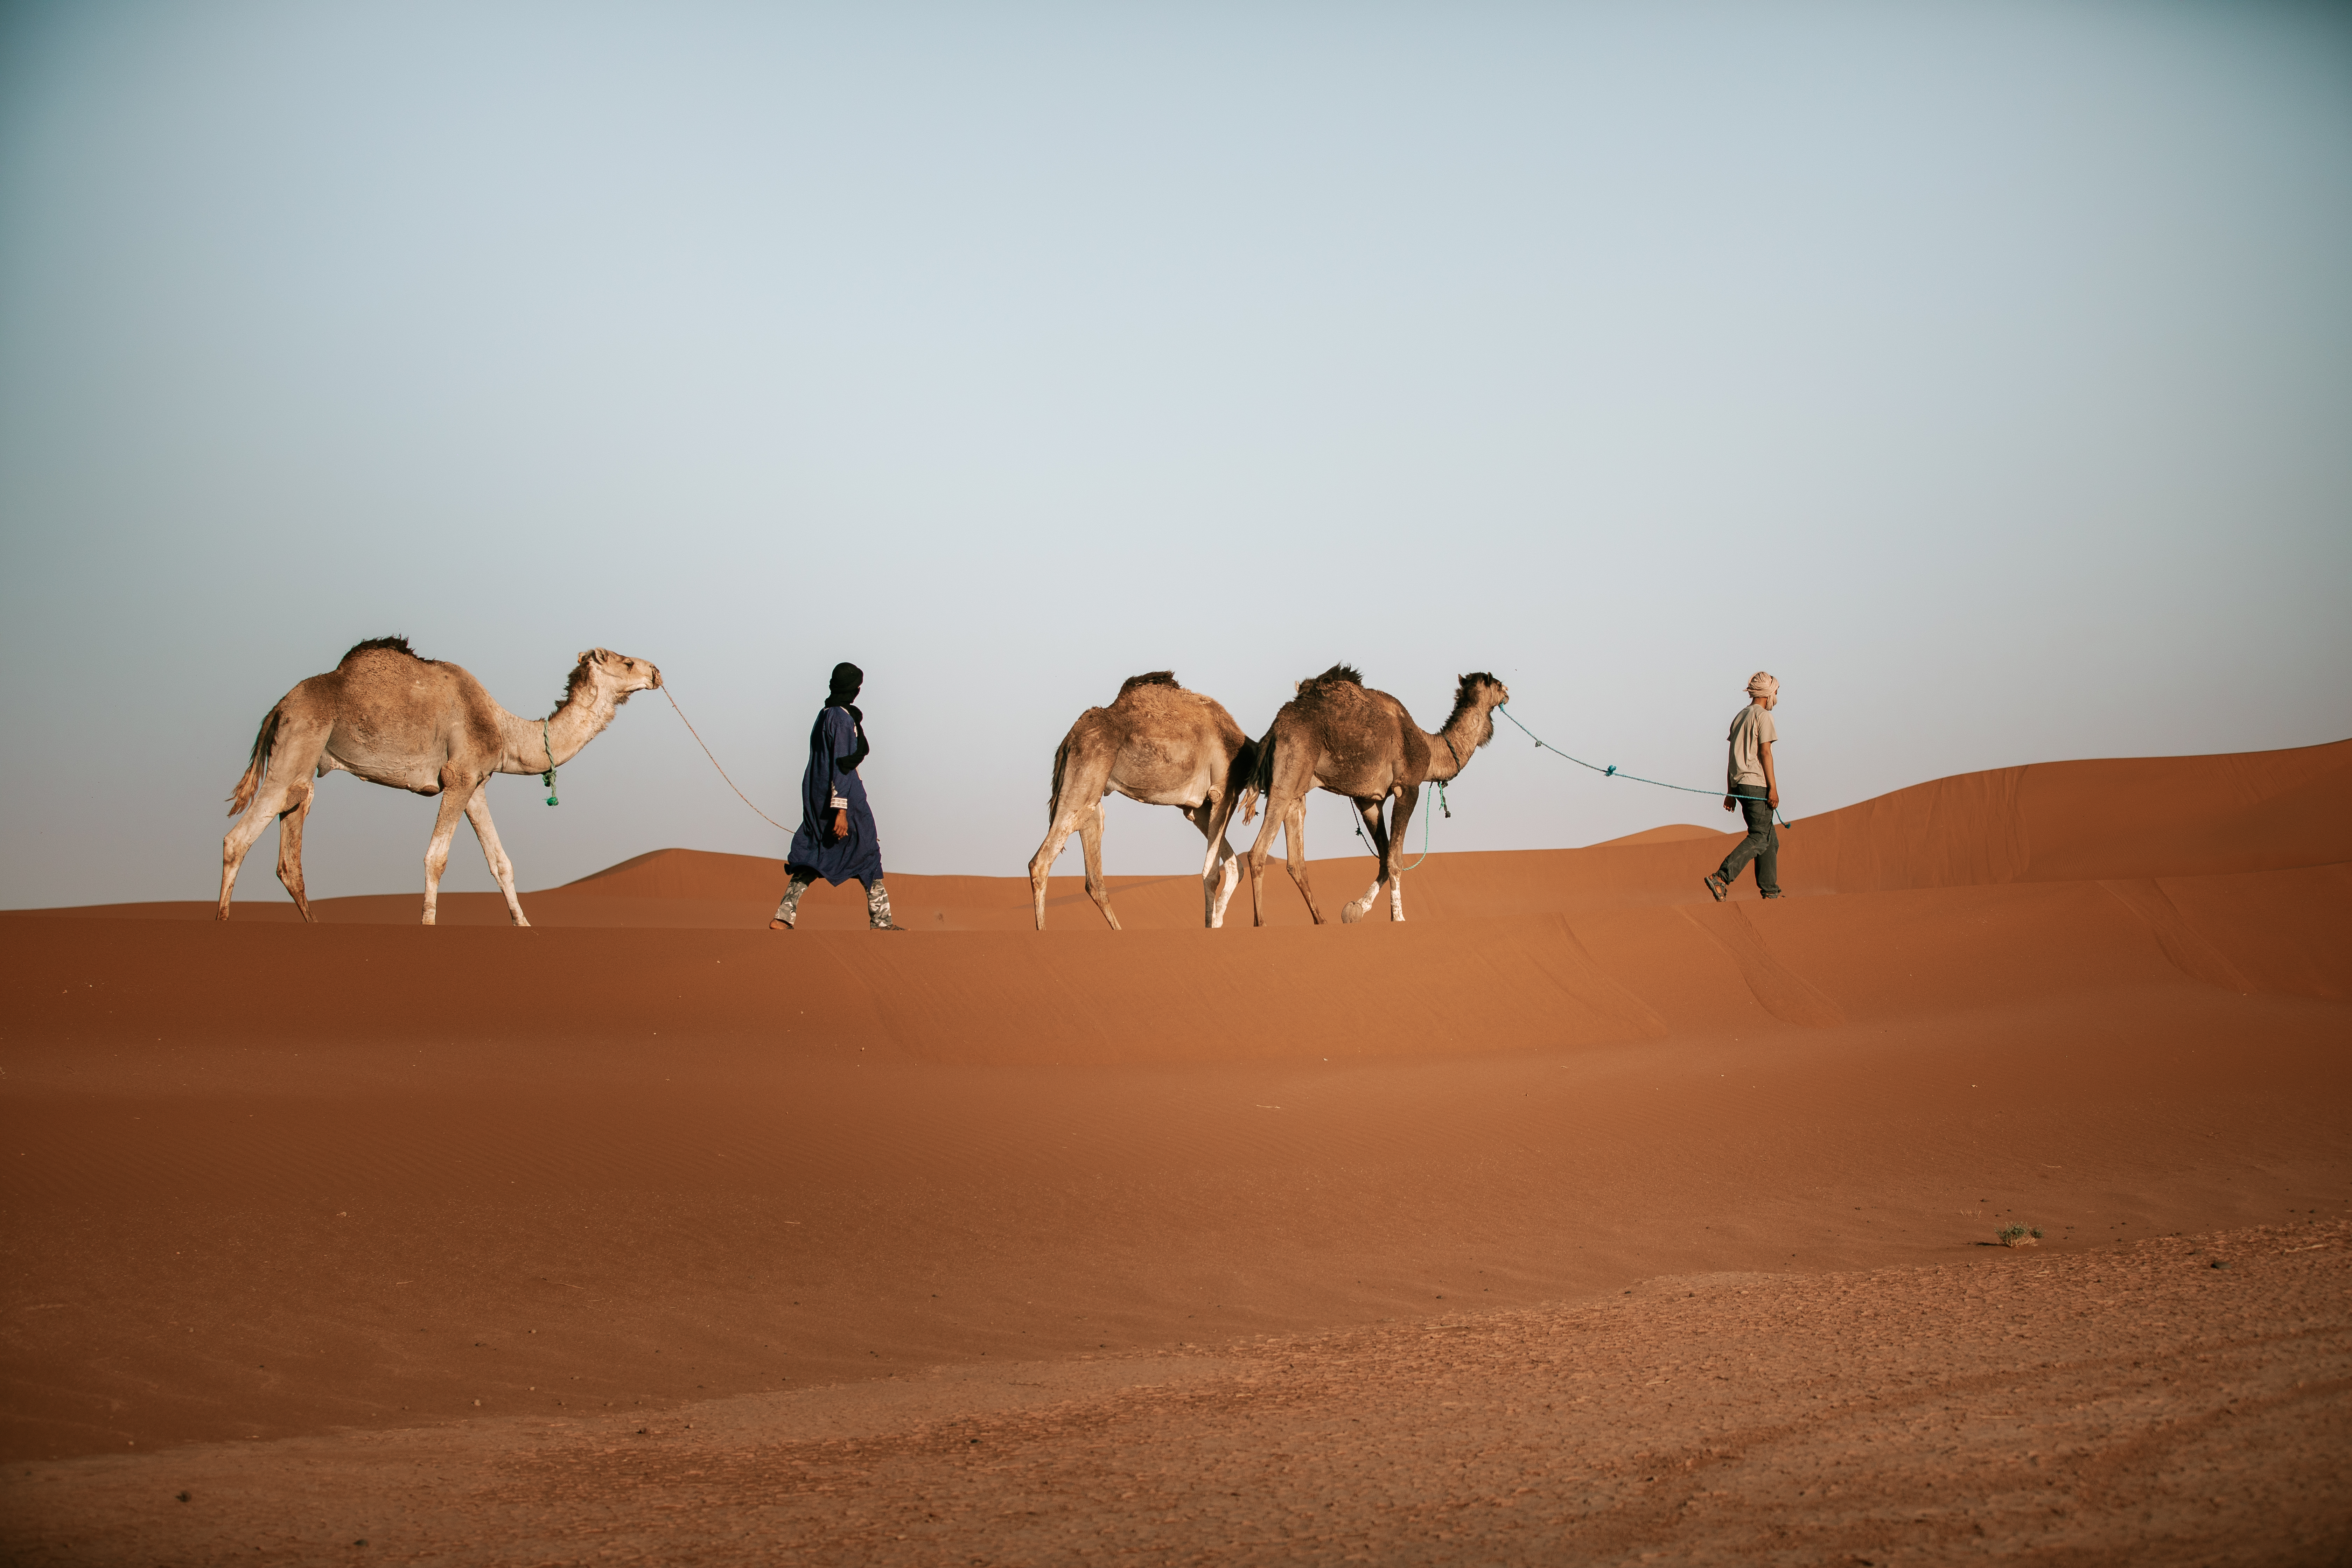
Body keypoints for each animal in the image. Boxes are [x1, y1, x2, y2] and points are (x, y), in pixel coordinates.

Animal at [218, 637, 662, 926]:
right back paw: (222, 920)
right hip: (297, 745)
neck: (505, 730)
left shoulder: (477, 785)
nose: (656, 671)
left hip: (304, 762)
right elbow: (436, 858)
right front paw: (428, 923)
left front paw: (524, 925)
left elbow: (501, 863)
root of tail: (280, 706)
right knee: (239, 837)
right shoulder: (458, 777)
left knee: (291, 841)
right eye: (625, 663)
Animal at [1028, 672, 1262, 930]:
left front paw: (1216, 921)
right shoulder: (1223, 793)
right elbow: (1213, 874)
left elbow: (1235, 868)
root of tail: (1069, 741)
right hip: (1086, 777)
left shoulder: (1197, 809)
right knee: (1041, 863)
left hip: (1092, 796)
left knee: (1094, 878)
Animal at [1241, 664, 1509, 927]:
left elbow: (1383, 857)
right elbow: (1395, 859)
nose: (1507, 692)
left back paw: (1321, 920)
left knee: (1296, 859)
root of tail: (1276, 729)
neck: (1431, 750)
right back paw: (1261, 923)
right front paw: (1398, 917)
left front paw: (1355, 910)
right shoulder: (1408, 787)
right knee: (1258, 852)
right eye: (1496, 683)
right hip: (1290, 770)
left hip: (1298, 788)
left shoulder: (1368, 800)